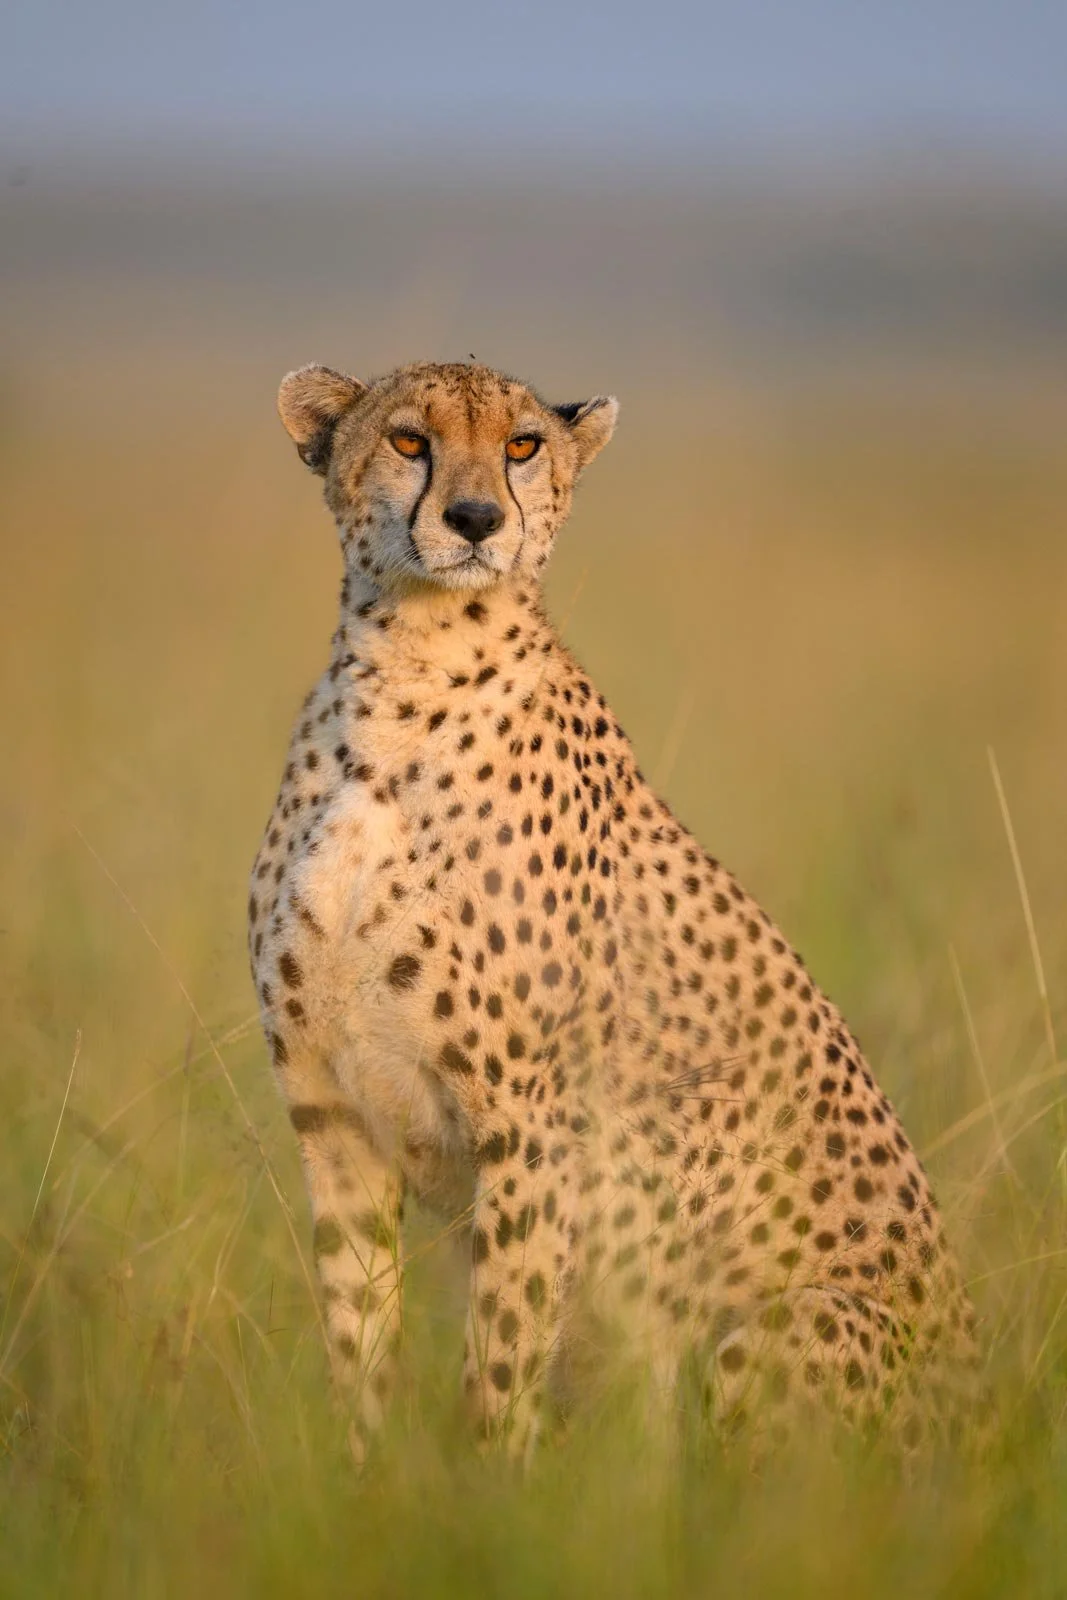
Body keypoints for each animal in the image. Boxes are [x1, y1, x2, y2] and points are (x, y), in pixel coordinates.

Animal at [248, 358, 979, 1461]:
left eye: (520, 446)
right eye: (411, 440)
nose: (473, 519)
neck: (405, 676)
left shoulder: (530, 1130)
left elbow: (502, 1353)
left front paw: (486, 1494)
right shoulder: (332, 1114)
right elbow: (357, 1338)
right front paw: (359, 1479)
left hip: (791, 1325)